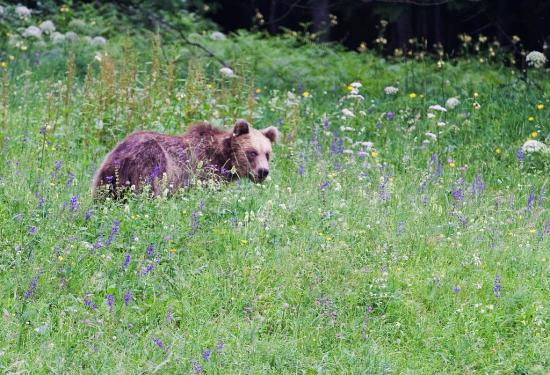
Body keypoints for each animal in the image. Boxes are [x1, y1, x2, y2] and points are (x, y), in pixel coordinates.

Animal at [93, 120, 280, 198]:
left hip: (107, 176)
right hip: (152, 163)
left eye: (267, 154)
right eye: (252, 152)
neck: (223, 157)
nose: (263, 171)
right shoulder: (203, 171)